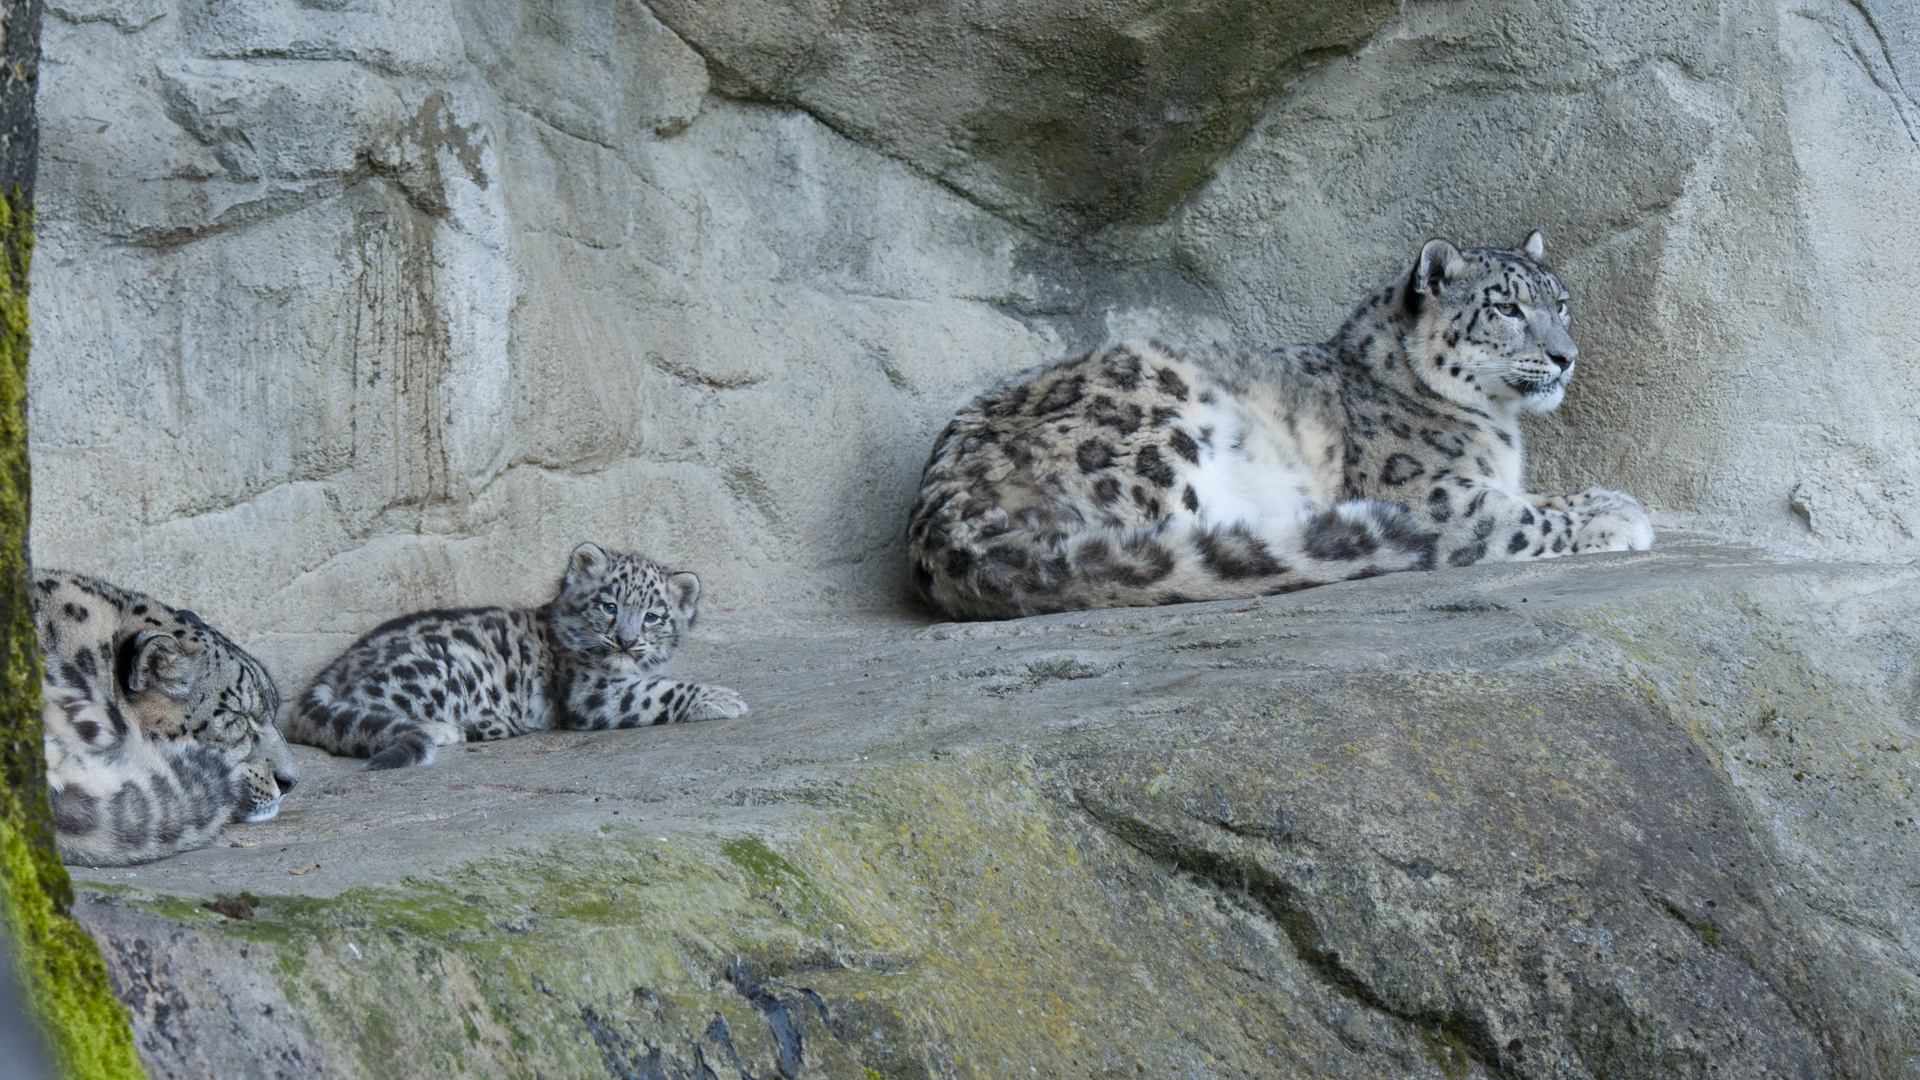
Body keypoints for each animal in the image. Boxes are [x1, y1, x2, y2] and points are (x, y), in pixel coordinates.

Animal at [284, 538, 748, 764]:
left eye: (652, 616)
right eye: (609, 606)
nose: (626, 641)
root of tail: (336, 666)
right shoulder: (591, 693)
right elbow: (660, 691)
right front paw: (723, 698)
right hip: (438, 668)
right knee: (368, 705)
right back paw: (442, 729)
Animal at [906, 231, 1658, 618]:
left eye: (1562, 302)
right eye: (1505, 308)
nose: (1566, 355)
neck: (1500, 426)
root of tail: (939, 523)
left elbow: (1541, 494)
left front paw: (1612, 498)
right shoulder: (1438, 498)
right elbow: (1526, 515)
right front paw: (1619, 518)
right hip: (1161, 419)